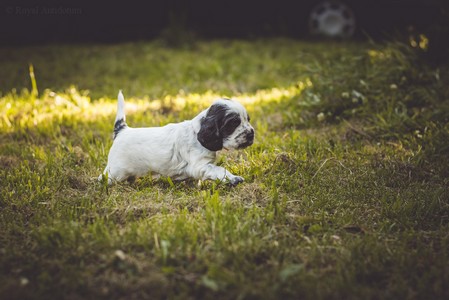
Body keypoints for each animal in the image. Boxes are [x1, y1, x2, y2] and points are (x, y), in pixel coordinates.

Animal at [98, 91, 254, 185]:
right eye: (233, 123)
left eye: (248, 119)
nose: (251, 133)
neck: (196, 133)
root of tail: (122, 130)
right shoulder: (199, 165)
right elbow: (219, 170)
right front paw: (234, 178)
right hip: (115, 171)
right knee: (104, 177)